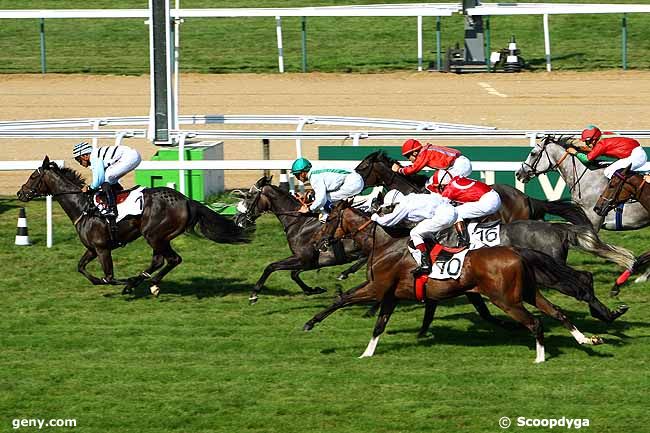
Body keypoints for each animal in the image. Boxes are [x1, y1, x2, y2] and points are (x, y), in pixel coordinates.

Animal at [17, 155, 251, 294]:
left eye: (33, 176)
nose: (20, 193)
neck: (83, 207)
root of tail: (186, 200)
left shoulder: (102, 248)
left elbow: (109, 277)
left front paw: (124, 283)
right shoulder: (92, 249)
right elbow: (81, 268)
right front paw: (107, 281)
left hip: (154, 235)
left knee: (170, 259)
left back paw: (144, 283)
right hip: (161, 237)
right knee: (163, 260)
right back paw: (148, 282)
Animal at [306, 202, 600, 362]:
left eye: (328, 220)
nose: (318, 243)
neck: (387, 244)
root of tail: (516, 251)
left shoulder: (377, 289)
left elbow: (343, 298)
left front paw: (310, 323)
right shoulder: (390, 295)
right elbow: (379, 325)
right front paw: (367, 354)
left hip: (506, 299)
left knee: (535, 321)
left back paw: (540, 357)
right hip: (527, 292)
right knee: (557, 312)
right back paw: (586, 339)